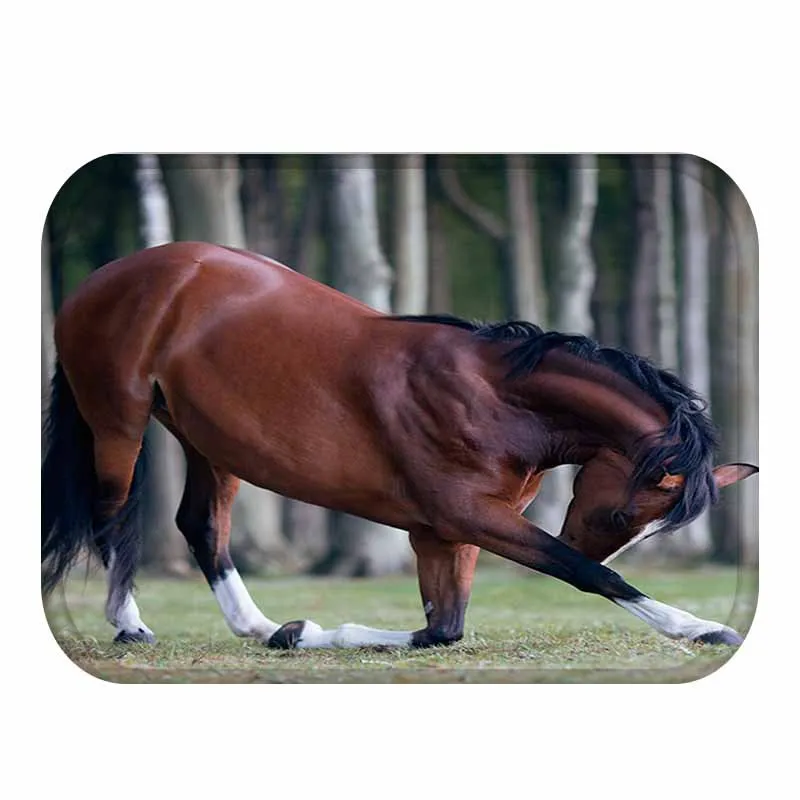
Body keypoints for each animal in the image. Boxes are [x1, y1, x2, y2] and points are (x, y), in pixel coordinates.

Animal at [42, 241, 758, 650]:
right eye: (622, 513)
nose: (585, 534)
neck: (498, 400)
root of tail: (109, 276)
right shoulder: (469, 517)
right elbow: (588, 575)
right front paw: (702, 628)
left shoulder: (443, 533)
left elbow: (442, 631)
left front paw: (306, 633)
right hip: (118, 426)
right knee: (111, 517)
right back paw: (130, 626)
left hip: (210, 445)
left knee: (202, 528)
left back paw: (267, 628)